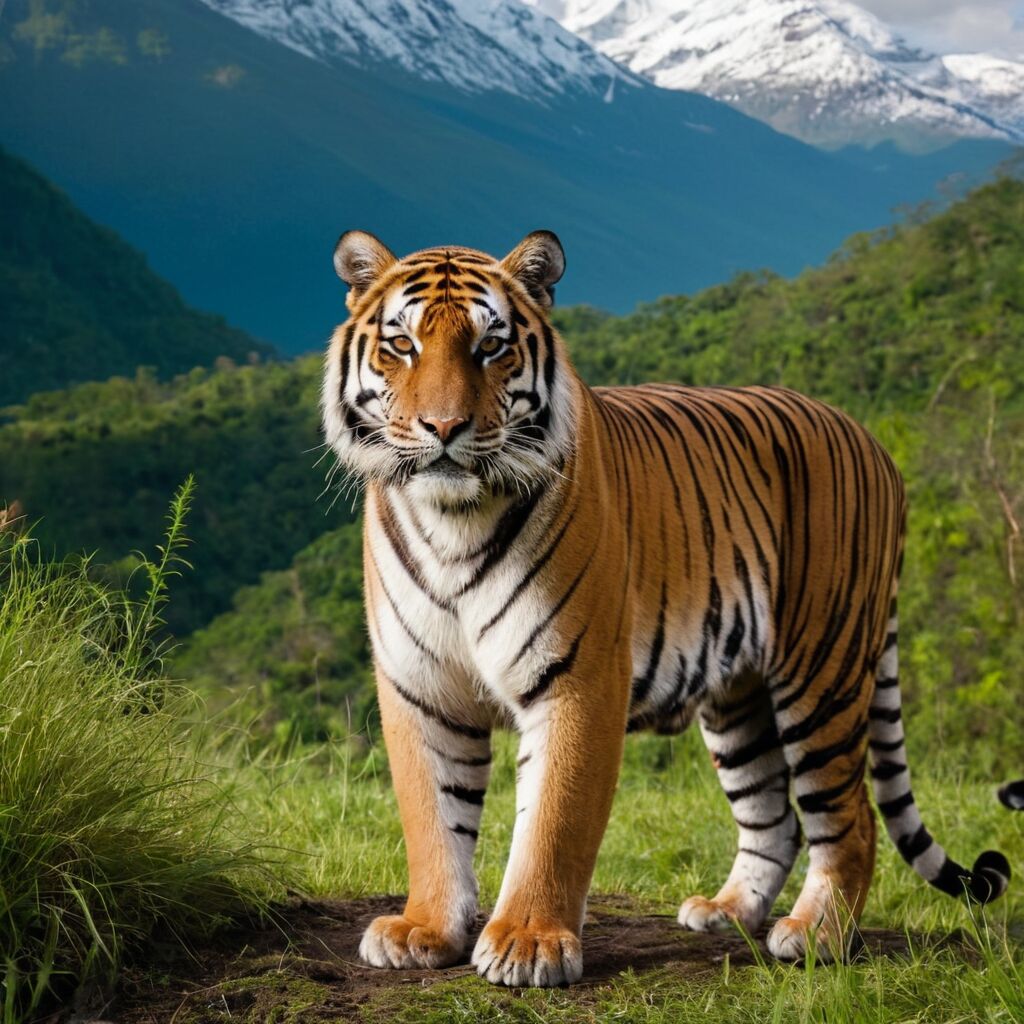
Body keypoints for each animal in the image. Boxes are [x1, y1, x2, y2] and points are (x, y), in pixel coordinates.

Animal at [321, 228, 1010, 987]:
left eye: (491, 347)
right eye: (402, 345)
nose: (443, 426)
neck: (454, 520)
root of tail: (873, 442)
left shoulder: (578, 677)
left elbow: (553, 820)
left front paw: (528, 942)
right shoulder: (419, 687)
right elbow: (432, 817)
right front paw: (423, 930)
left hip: (822, 672)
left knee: (848, 817)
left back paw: (816, 935)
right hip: (740, 697)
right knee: (773, 814)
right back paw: (727, 913)